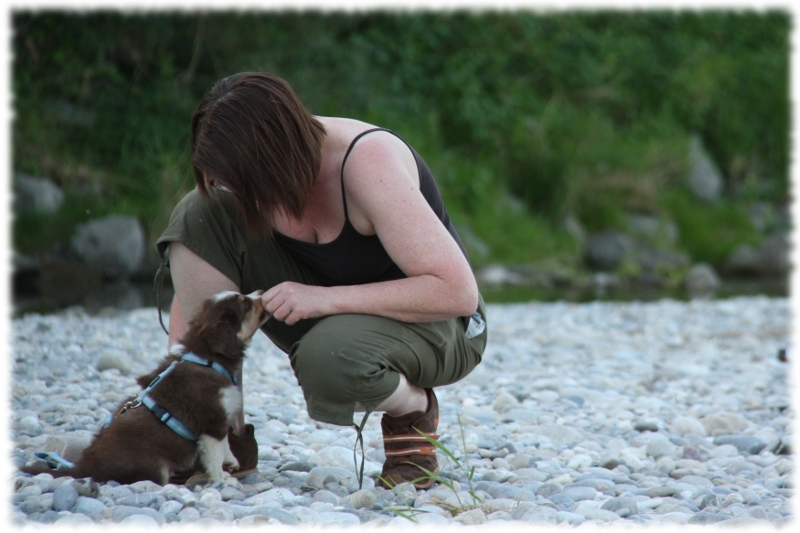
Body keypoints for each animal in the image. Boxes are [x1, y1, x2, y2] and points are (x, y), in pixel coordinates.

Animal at [18, 288, 268, 484]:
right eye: (245, 303)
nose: (262, 292)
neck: (209, 359)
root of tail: (84, 467)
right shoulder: (213, 421)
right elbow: (215, 453)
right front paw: (221, 478)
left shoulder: (222, 419)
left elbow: (226, 445)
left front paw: (232, 462)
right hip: (154, 464)